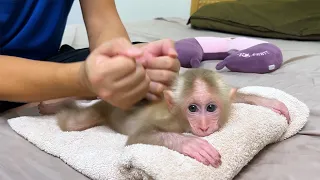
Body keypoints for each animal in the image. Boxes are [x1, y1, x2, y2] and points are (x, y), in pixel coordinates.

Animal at [55, 68, 290, 167]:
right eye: (193, 108)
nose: (203, 126)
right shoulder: (172, 121)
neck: (182, 119)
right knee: (71, 122)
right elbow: (138, 136)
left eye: (211, 107)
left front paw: (269, 102)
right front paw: (191, 144)